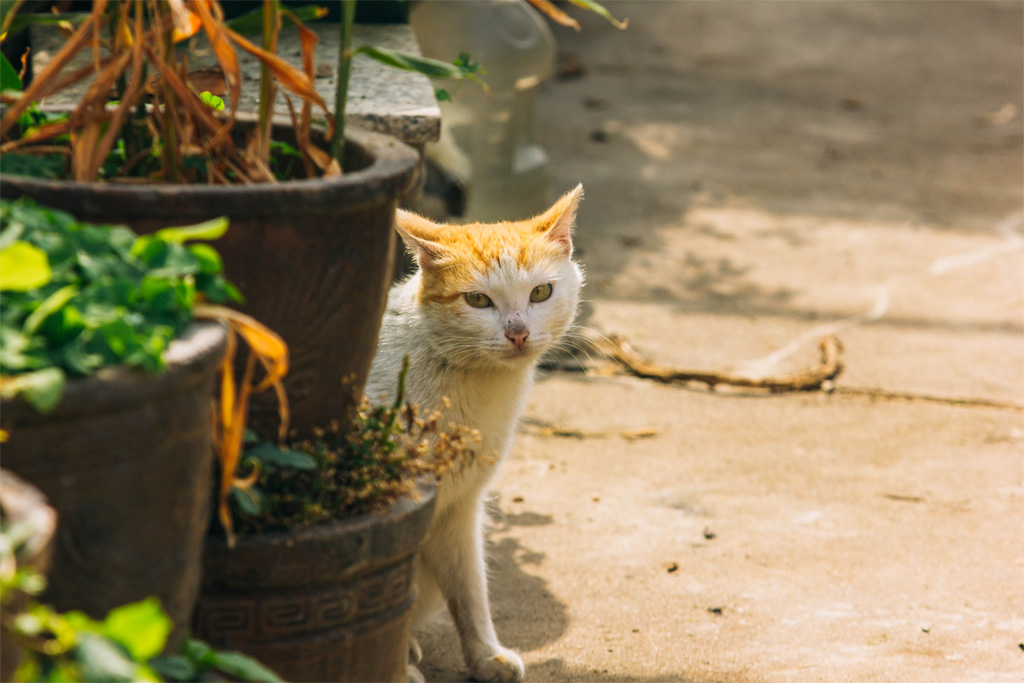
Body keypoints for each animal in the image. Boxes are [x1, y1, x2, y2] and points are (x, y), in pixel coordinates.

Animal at [366, 184, 585, 679]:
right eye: (478, 301)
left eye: (540, 292)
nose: (518, 332)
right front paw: (396, 667)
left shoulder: (459, 508)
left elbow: (469, 590)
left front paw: (485, 655)